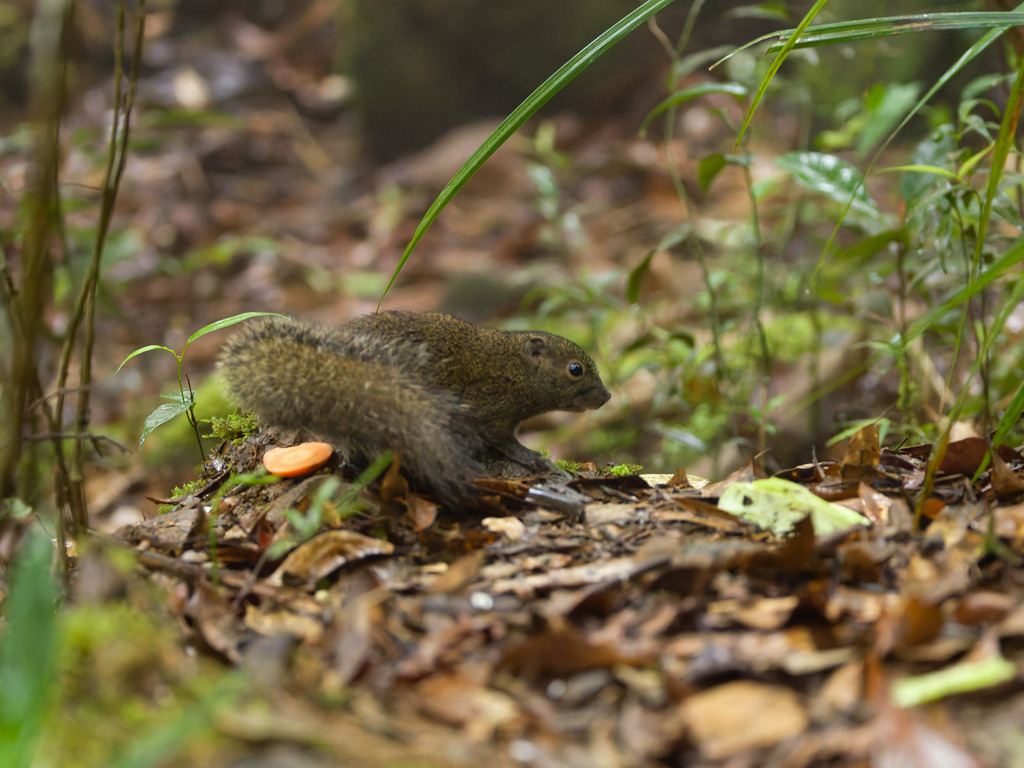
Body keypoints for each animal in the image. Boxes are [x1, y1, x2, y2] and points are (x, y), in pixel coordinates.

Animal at [218, 311, 611, 502]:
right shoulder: (490, 408)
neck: (513, 368)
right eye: (575, 369)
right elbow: (502, 440)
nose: (606, 397)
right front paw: (530, 457)